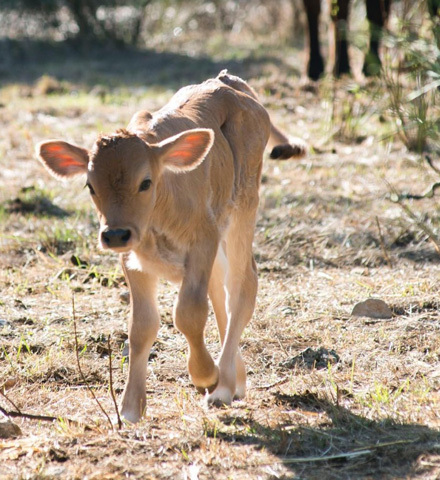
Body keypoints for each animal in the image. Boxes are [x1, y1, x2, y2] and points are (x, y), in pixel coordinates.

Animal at [37, 71, 306, 424]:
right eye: (90, 185)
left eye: (145, 182)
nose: (115, 234)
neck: (156, 220)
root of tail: (228, 82)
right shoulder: (133, 260)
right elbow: (141, 327)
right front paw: (130, 408)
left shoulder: (202, 240)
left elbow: (188, 313)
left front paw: (206, 375)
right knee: (220, 291)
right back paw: (234, 381)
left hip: (242, 209)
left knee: (241, 287)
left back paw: (222, 386)